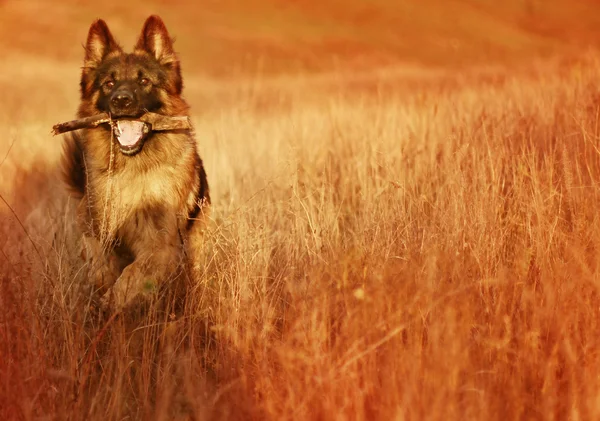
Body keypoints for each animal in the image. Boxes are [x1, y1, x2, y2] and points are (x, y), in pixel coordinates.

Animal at [61, 14, 211, 310]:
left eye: (144, 81)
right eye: (109, 84)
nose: (121, 100)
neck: (130, 171)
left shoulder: (160, 245)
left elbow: (132, 274)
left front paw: (111, 303)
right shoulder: (93, 230)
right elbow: (99, 261)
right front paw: (102, 292)